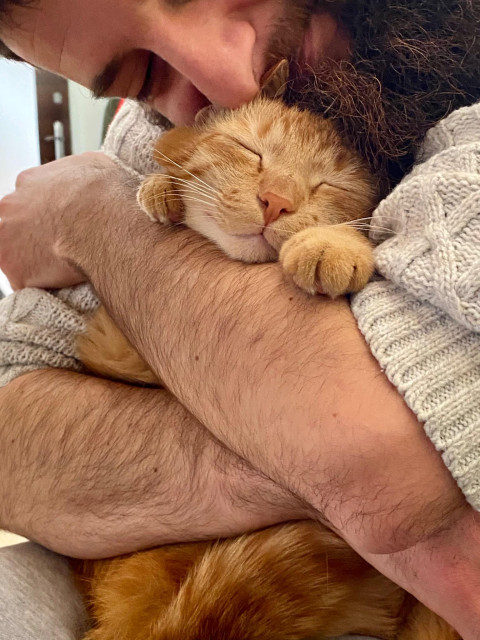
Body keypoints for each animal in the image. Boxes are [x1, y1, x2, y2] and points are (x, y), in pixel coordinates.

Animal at [74, 95, 458, 640]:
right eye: (248, 150)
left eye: (329, 185)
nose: (276, 201)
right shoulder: (111, 343)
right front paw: (163, 189)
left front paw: (334, 243)